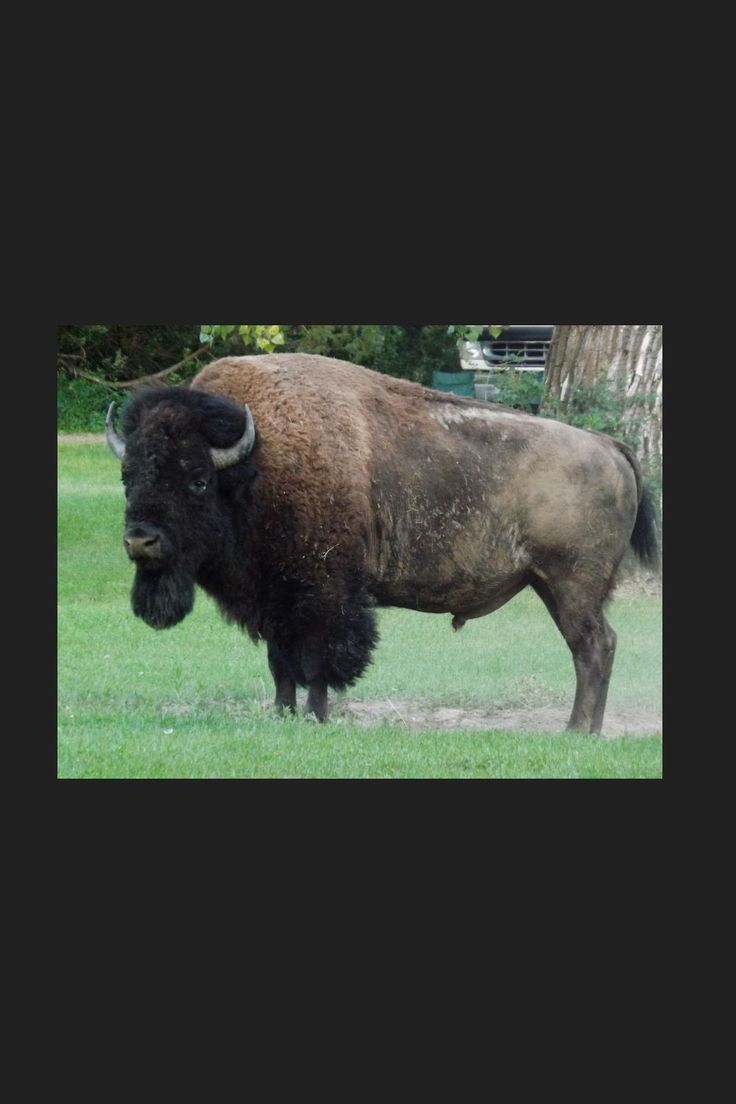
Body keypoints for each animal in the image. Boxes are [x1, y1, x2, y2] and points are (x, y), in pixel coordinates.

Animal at [104, 353, 662, 733]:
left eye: (197, 480)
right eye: (128, 476)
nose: (142, 540)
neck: (257, 462)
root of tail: (609, 445)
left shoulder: (326, 594)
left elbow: (319, 662)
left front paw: (316, 717)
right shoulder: (275, 601)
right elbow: (281, 666)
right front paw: (282, 715)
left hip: (572, 587)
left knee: (594, 647)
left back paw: (577, 730)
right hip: (551, 585)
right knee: (594, 648)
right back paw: (583, 728)